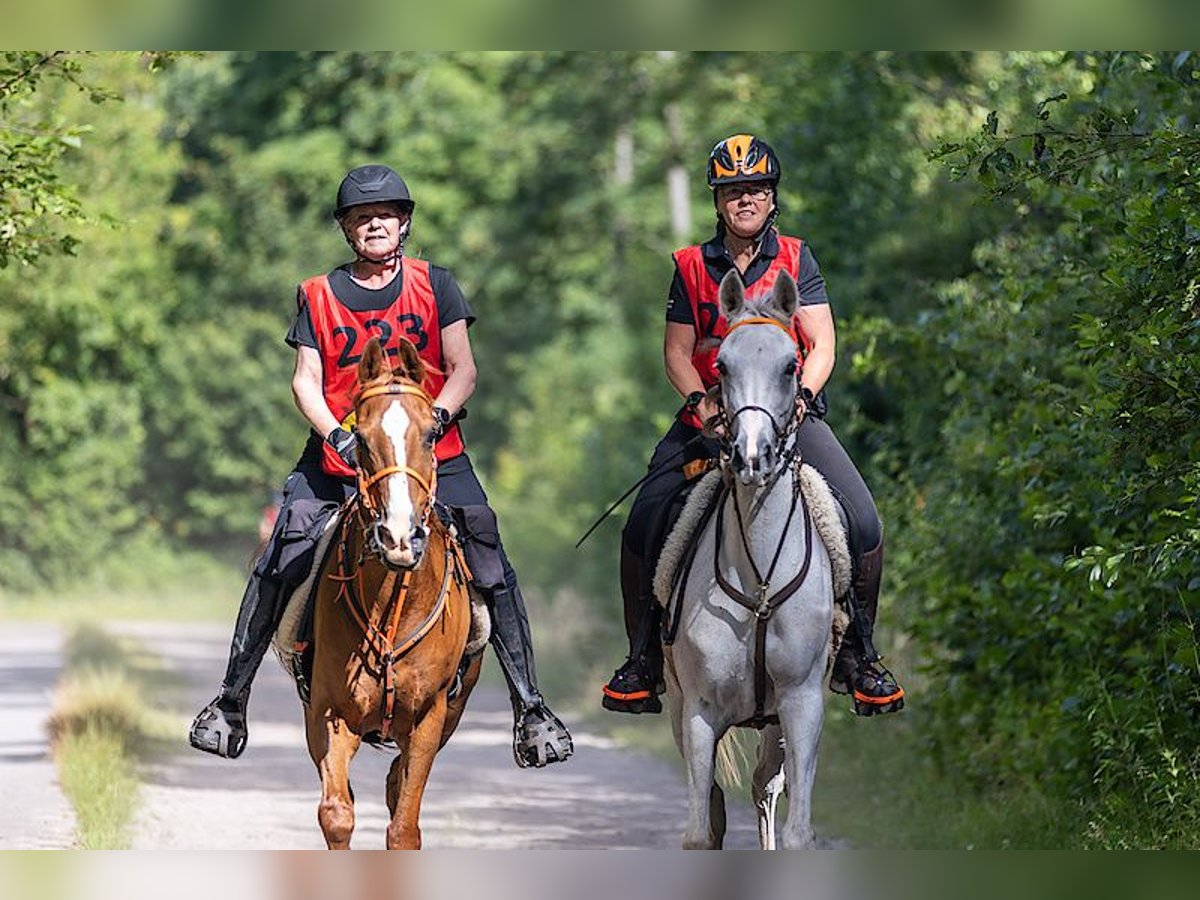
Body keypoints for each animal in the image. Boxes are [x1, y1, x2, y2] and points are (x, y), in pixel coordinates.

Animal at [304, 338, 482, 854]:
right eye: (360, 440)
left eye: (430, 436)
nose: (399, 536)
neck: (390, 609)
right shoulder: (328, 712)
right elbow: (337, 814)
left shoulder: (429, 718)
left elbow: (404, 827)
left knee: (397, 784)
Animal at [662, 270, 830, 854]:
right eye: (723, 366)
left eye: (791, 366)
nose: (752, 456)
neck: (758, 581)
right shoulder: (697, 712)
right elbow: (700, 830)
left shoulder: (802, 705)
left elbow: (798, 831)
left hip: (774, 724)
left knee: (763, 790)